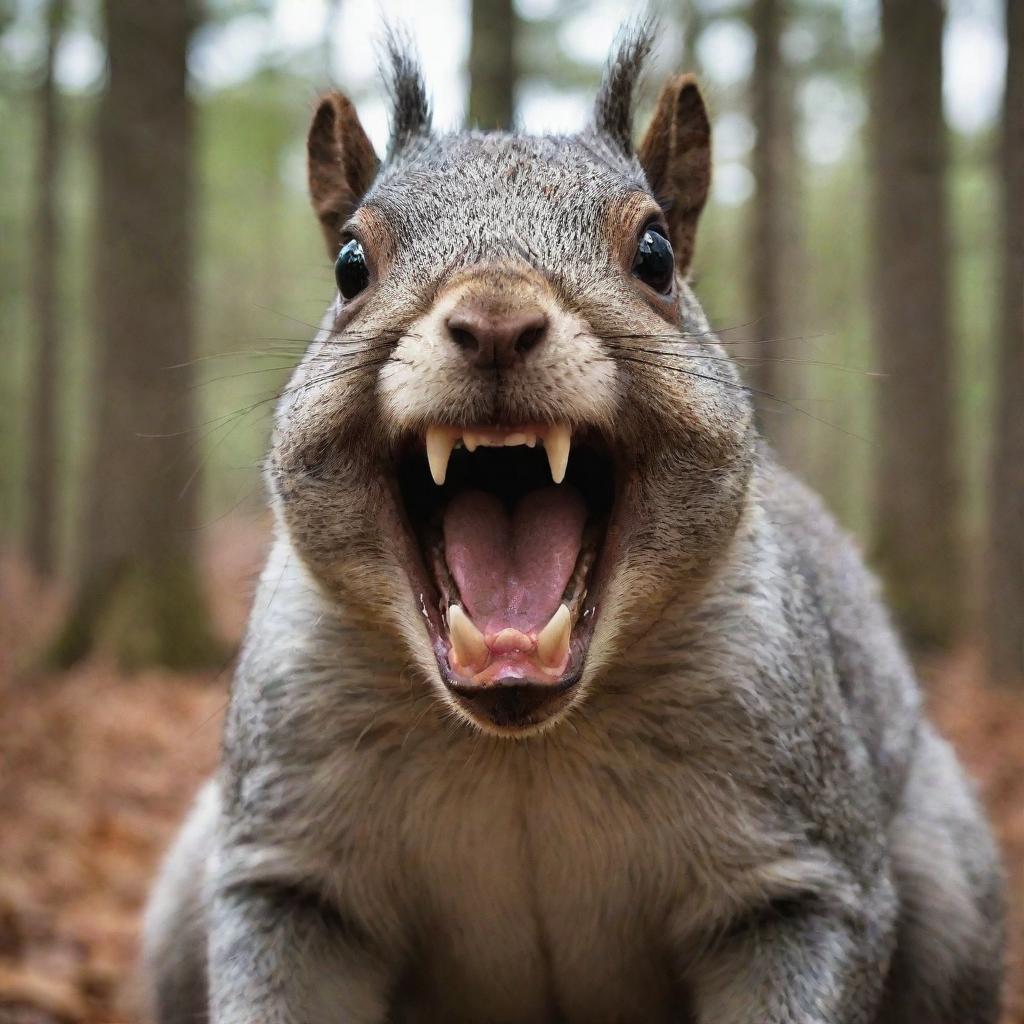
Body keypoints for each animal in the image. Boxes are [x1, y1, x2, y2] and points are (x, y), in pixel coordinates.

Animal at [140, 25, 1003, 1024]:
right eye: (350, 265)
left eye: (656, 255)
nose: (495, 319)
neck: (523, 746)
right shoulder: (289, 861)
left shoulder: (800, 860)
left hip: (953, 889)